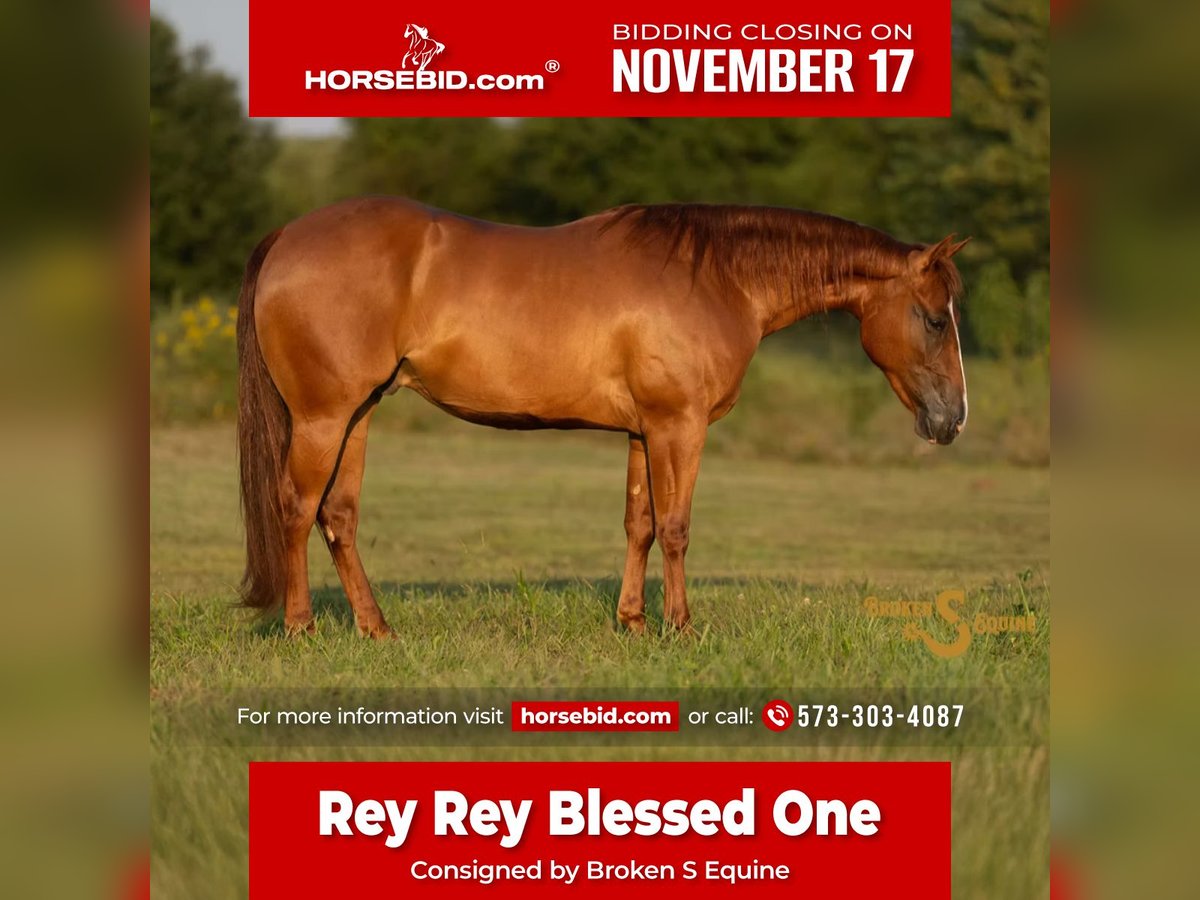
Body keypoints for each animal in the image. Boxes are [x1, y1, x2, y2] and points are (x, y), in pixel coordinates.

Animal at [236, 198, 969, 639]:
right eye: (936, 319)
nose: (953, 419)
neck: (718, 277)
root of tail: (287, 235)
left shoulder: (645, 431)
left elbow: (639, 523)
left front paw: (634, 622)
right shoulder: (680, 426)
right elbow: (676, 528)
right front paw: (680, 626)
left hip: (357, 413)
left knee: (339, 516)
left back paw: (377, 628)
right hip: (323, 418)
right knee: (296, 508)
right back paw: (301, 626)